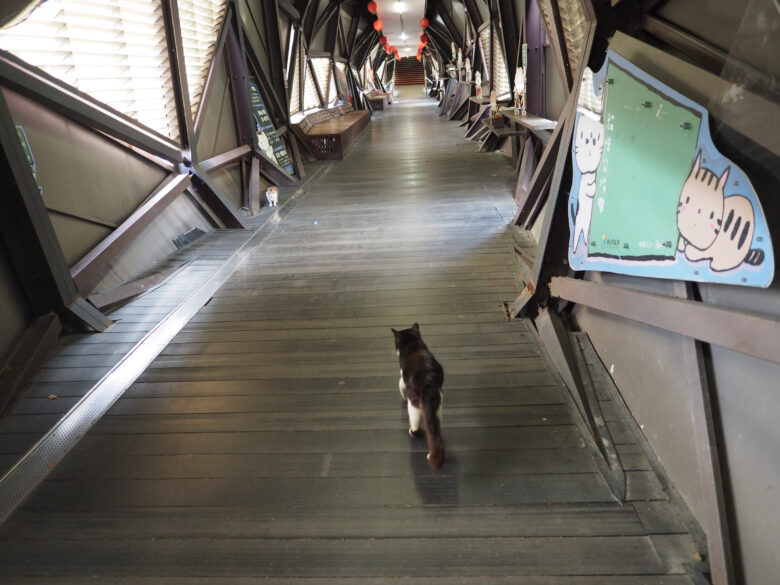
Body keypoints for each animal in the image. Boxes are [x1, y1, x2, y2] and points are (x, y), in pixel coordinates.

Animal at [390, 322, 444, 468]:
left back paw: (413, 432)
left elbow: (400, 383)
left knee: (415, 419)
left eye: (395, 342)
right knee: (434, 425)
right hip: (438, 402)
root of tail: (428, 381)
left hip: (413, 403)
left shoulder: (403, 377)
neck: (414, 345)